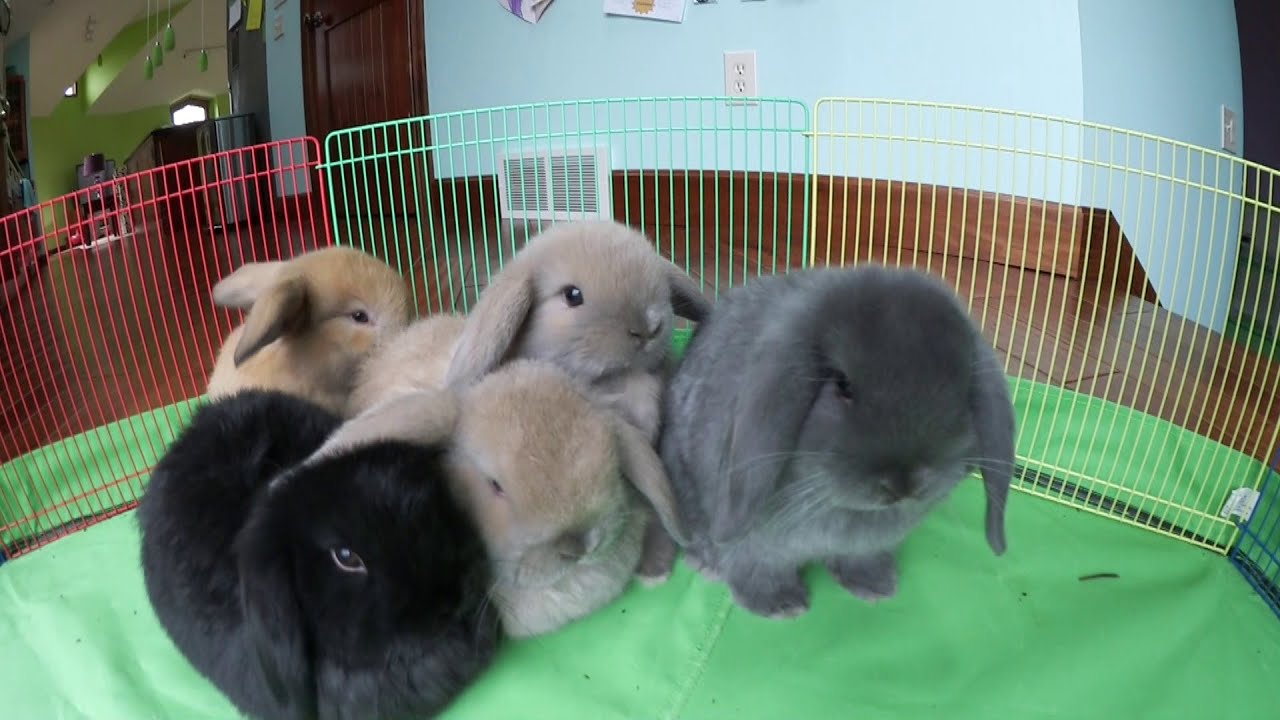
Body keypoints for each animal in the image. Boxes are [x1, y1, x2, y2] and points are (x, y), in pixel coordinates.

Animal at [658, 263, 1016, 620]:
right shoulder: (753, 548)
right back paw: (706, 565)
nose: (903, 482)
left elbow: (860, 560)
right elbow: (758, 570)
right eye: (842, 385)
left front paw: (876, 587)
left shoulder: (865, 546)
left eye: (961, 388)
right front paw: (782, 606)